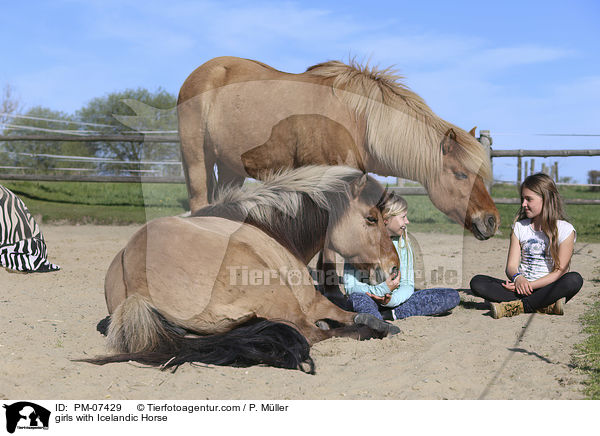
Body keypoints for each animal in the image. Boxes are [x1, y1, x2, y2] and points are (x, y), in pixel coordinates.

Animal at [81, 165, 398, 372]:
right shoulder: (311, 300)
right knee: (313, 333)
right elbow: (343, 311)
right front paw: (374, 322)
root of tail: (137, 286)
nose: (394, 268)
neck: (272, 228)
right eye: (371, 219)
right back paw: (371, 330)